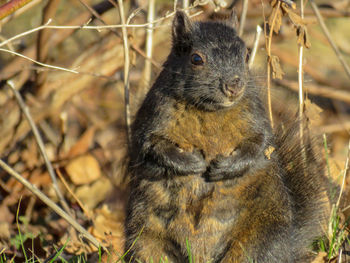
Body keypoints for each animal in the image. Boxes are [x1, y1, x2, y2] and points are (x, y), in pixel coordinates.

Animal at [124, 10, 330, 263]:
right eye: (196, 59)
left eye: (246, 54)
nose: (234, 85)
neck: (210, 111)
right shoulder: (154, 117)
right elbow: (152, 146)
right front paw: (192, 163)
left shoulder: (255, 118)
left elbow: (260, 146)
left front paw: (223, 167)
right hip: (146, 241)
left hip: (256, 243)